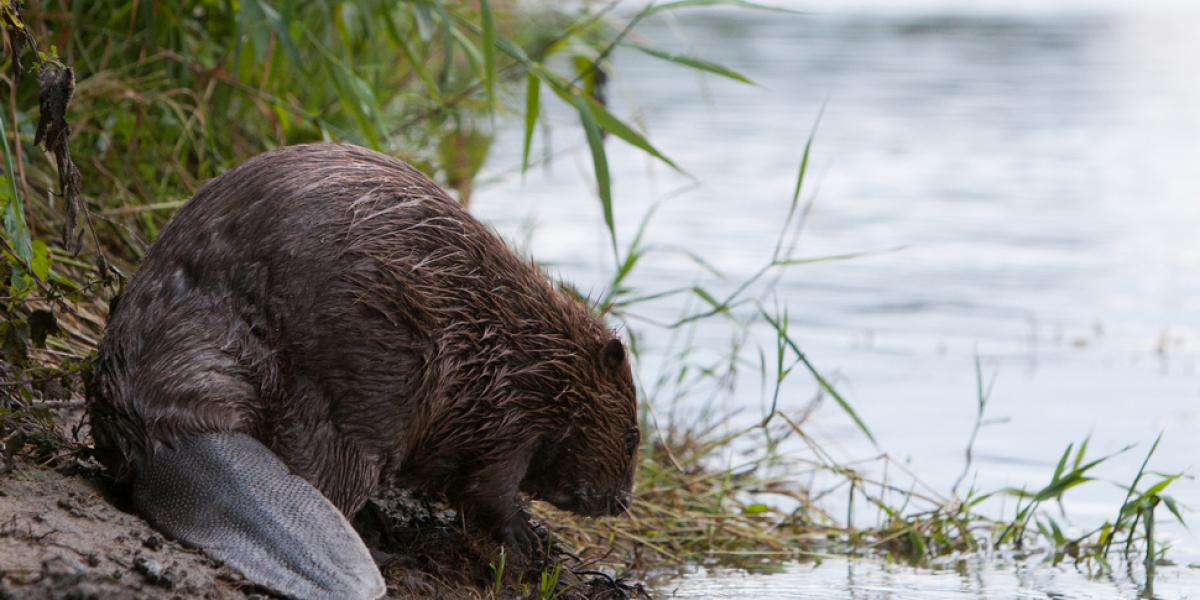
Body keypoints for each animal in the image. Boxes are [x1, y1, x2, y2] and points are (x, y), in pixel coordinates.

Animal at [85, 141, 643, 600]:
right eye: (633, 437)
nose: (620, 502)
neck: (531, 350)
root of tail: (176, 432)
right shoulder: (505, 415)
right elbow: (489, 489)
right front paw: (530, 536)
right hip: (350, 399)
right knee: (332, 482)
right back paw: (386, 555)